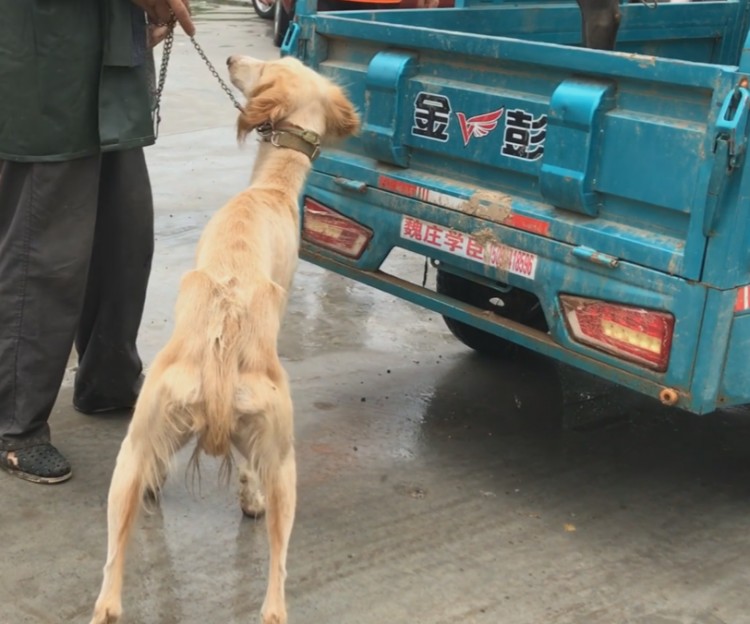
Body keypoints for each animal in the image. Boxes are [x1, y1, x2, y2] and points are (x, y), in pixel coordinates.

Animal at [91, 54, 362, 624]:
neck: (269, 190)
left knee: (109, 591)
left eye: (270, 64)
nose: (234, 58)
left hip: (134, 457)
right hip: (279, 462)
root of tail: (221, 345)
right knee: (274, 593)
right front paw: (246, 496)